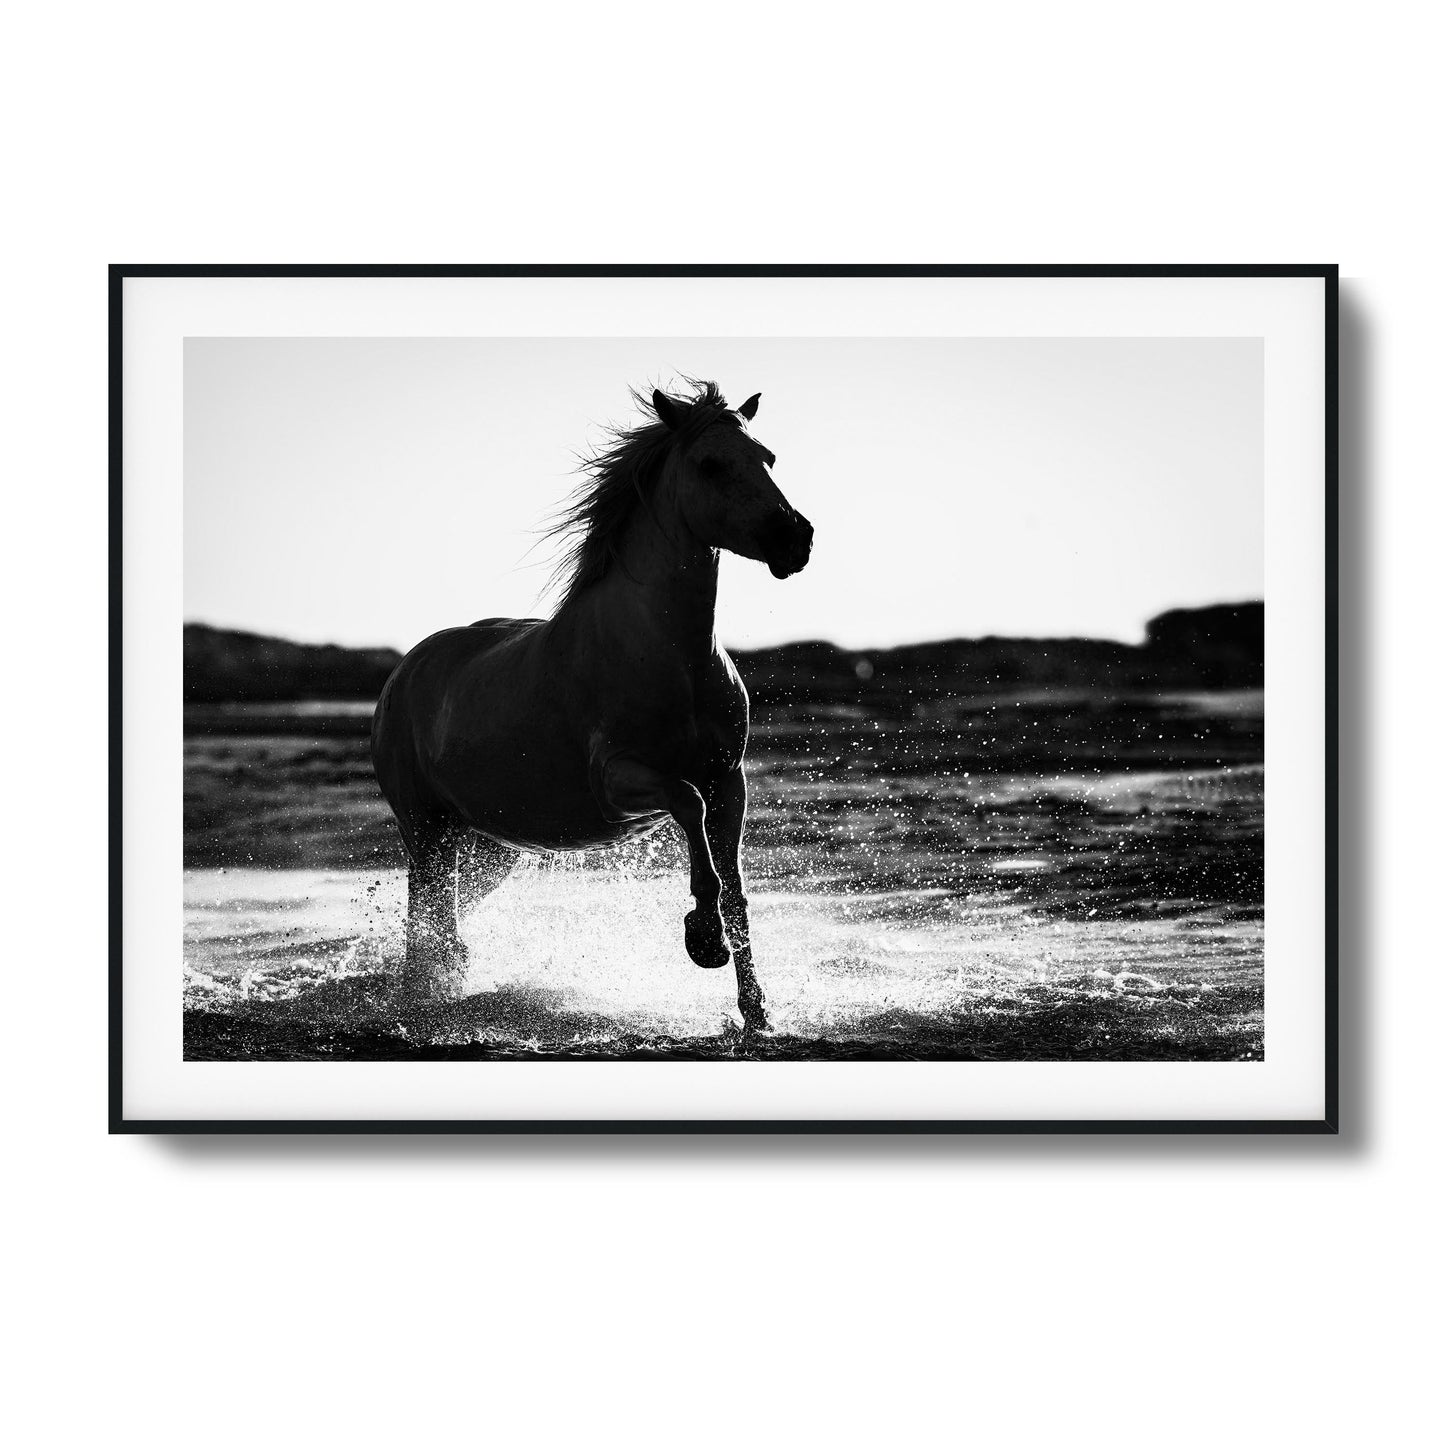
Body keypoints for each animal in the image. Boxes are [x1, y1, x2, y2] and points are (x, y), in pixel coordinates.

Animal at [370, 381, 813, 1034]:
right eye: (710, 463)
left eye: (768, 458)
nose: (794, 539)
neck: (670, 657)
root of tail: (401, 675)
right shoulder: (620, 780)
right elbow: (689, 807)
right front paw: (702, 939)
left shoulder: (729, 780)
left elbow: (735, 888)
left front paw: (757, 1012)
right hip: (426, 831)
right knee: (425, 920)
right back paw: (422, 998)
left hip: (487, 847)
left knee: (443, 919)